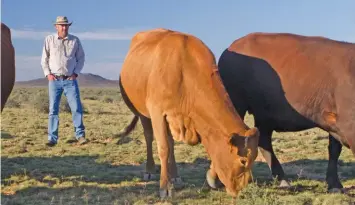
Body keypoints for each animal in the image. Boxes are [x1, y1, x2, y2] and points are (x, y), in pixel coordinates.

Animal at [118, 28, 260, 198]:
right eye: (243, 161)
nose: (242, 189)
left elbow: (169, 146)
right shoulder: (157, 111)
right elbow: (163, 148)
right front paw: (165, 187)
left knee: (170, 142)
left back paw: (175, 176)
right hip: (143, 113)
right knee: (148, 136)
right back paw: (150, 170)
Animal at [218, 32, 354, 194]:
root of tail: (231, 47)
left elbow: (334, 150)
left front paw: (334, 184)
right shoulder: (348, 123)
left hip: (265, 114)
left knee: (264, 141)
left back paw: (282, 180)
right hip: (236, 103)